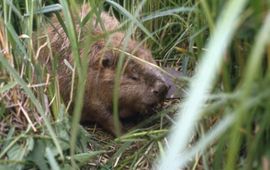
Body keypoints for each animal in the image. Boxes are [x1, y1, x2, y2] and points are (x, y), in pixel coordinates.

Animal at [38, 5, 169, 135]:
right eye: (134, 77)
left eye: (153, 63)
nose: (162, 88)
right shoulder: (81, 90)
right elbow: (102, 114)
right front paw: (124, 132)